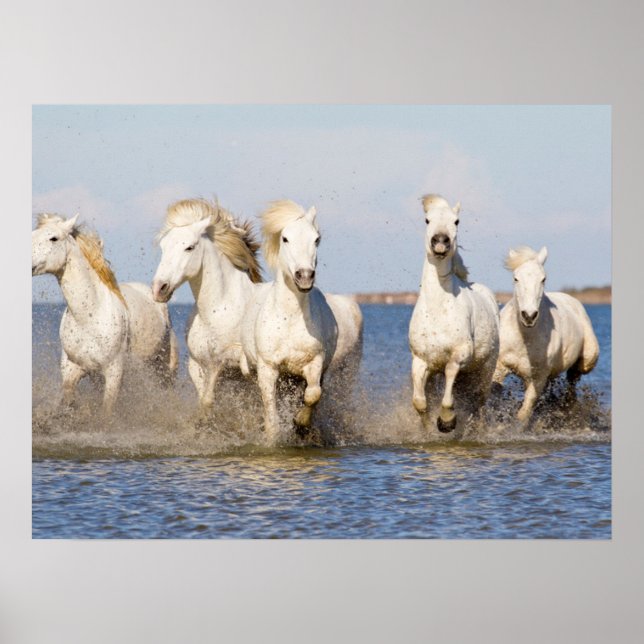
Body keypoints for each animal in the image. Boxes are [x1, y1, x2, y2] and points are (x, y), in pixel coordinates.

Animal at [32, 214, 178, 415]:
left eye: (53, 238)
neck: (89, 317)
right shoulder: (73, 369)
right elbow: (69, 397)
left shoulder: (114, 371)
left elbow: (107, 410)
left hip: (163, 367)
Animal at [151, 198, 263, 418]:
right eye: (163, 247)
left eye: (189, 247)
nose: (159, 288)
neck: (218, 310)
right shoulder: (197, 365)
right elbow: (206, 400)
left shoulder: (235, 363)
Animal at [240, 199, 363, 444]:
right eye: (285, 239)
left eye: (316, 239)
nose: (304, 276)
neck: (289, 320)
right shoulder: (268, 368)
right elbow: (270, 412)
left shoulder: (314, 363)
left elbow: (313, 395)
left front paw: (300, 424)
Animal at [408, 194, 500, 433]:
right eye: (427, 220)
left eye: (456, 221)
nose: (441, 240)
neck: (437, 310)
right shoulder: (421, 360)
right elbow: (419, 401)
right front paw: (429, 427)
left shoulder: (460, 355)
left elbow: (450, 380)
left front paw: (447, 420)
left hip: (485, 370)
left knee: (479, 401)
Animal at [493, 246, 600, 422]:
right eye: (516, 278)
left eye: (543, 279)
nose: (529, 315)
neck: (525, 338)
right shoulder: (500, 367)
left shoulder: (538, 377)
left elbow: (523, 413)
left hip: (587, 359)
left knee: (573, 379)